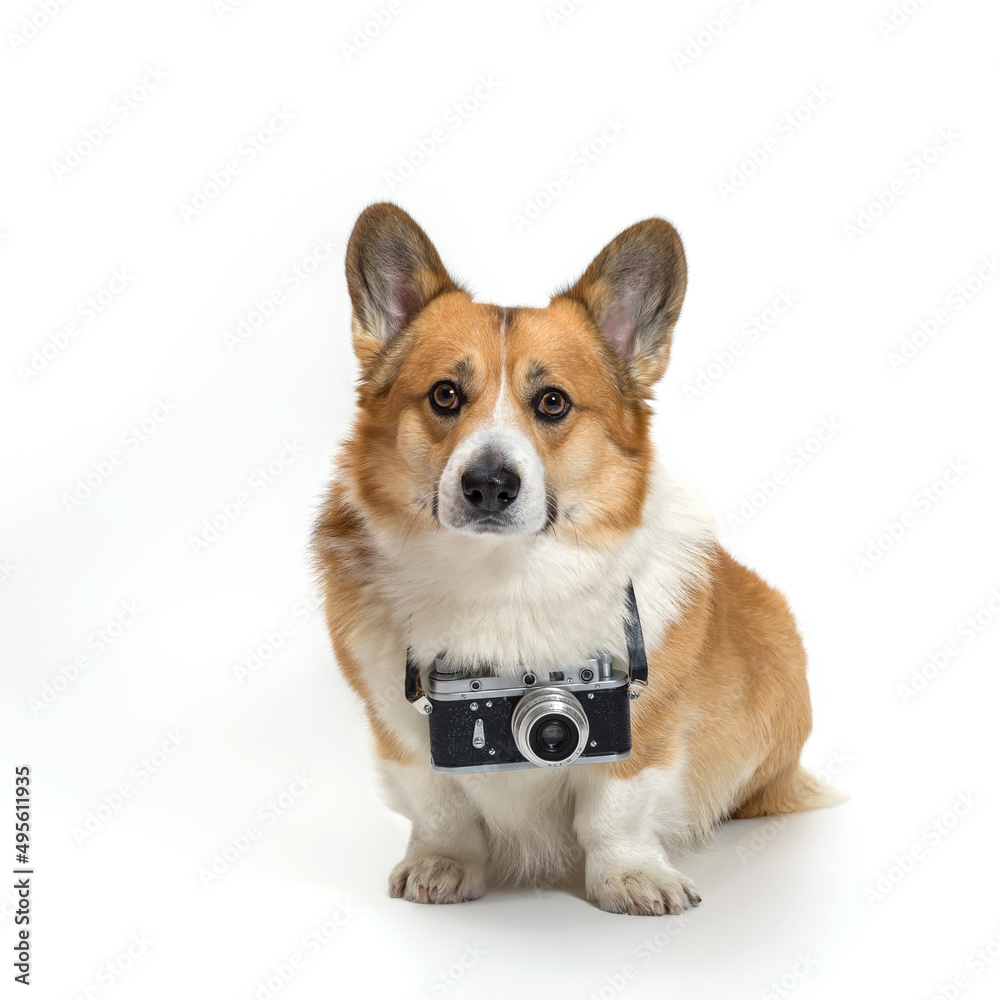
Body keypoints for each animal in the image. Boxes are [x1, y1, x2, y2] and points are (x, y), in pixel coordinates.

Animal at [310, 203, 836, 916]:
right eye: (445, 395)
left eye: (553, 402)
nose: (489, 485)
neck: (500, 579)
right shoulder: (403, 733)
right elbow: (441, 806)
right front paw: (442, 864)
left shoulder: (638, 726)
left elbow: (613, 809)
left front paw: (631, 877)